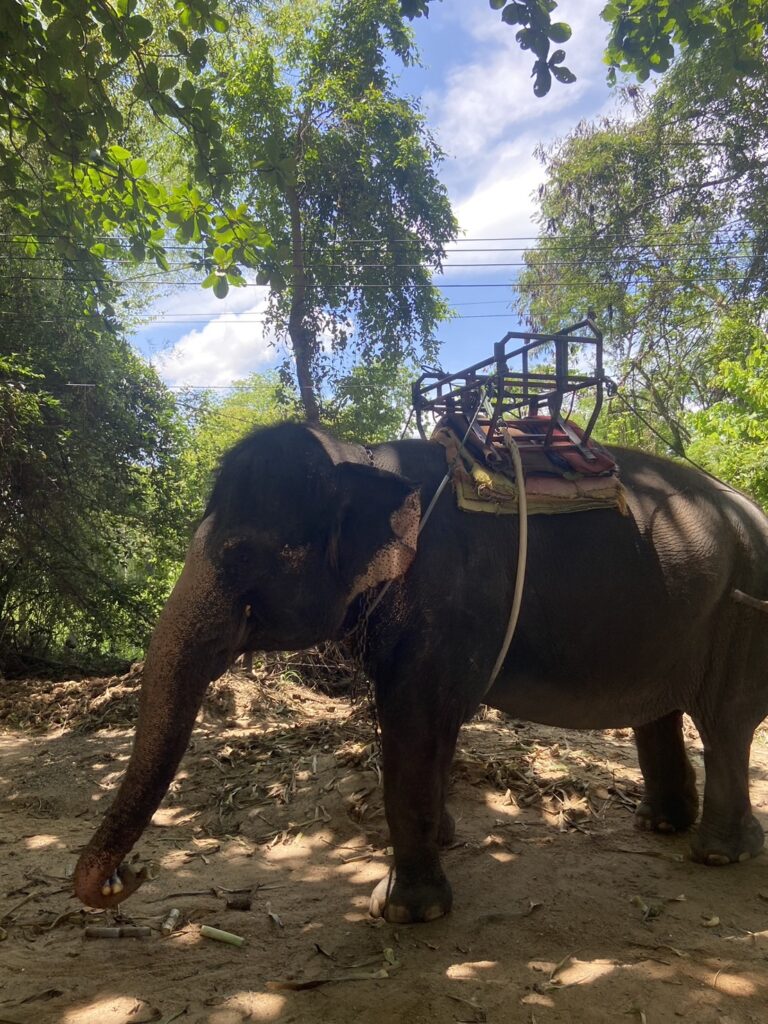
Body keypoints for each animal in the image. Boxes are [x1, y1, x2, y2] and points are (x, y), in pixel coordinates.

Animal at [74, 421, 768, 923]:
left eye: (240, 555)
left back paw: (717, 854)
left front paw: (403, 912)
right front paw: (447, 840)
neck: (360, 457)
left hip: (744, 609)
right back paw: (661, 825)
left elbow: (412, 722)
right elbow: (432, 732)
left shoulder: (444, 605)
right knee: (664, 714)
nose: (131, 875)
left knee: (725, 724)